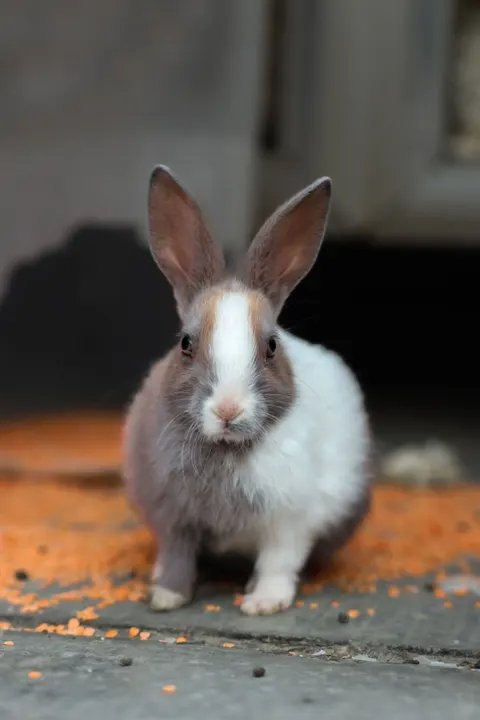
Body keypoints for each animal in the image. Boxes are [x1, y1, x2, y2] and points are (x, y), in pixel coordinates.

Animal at [123, 166, 372, 616]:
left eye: (271, 346)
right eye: (185, 343)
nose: (228, 409)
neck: (224, 449)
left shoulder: (289, 522)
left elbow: (278, 562)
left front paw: (263, 604)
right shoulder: (174, 521)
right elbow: (177, 558)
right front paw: (166, 597)